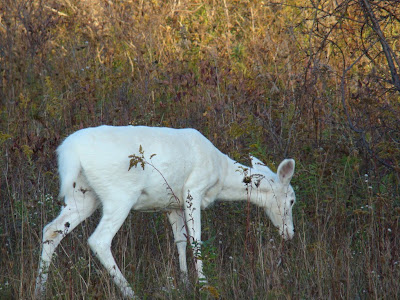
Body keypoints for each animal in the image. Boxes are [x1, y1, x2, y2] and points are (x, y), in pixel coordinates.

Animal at [35, 124, 296, 298]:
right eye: (292, 200)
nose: (290, 233)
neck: (221, 176)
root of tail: (70, 152)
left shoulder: (172, 204)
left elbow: (180, 240)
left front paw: (184, 283)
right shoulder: (193, 189)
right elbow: (196, 240)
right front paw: (204, 285)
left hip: (82, 195)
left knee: (51, 230)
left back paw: (39, 288)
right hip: (119, 194)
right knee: (99, 240)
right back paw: (131, 293)